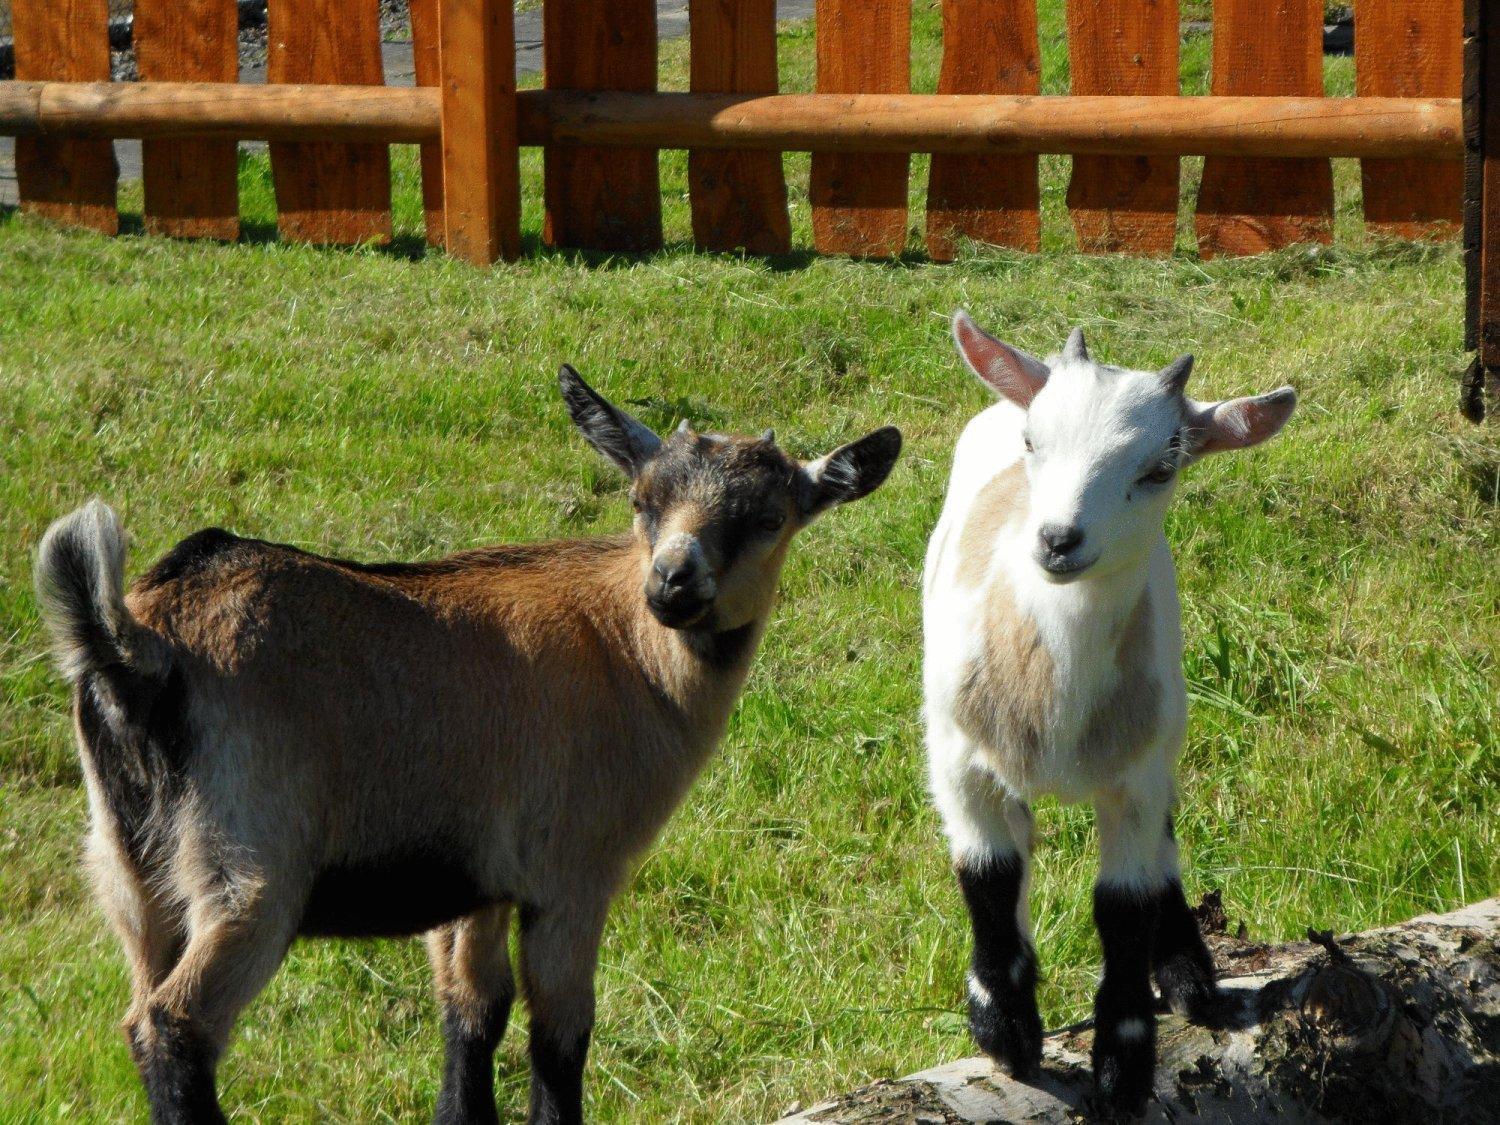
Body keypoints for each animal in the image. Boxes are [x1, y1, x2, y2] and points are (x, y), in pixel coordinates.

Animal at [918, 313, 1296, 1116]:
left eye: (1162, 466)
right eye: (1034, 441)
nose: (1059, 540)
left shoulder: (1136, 773)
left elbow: (1124, 903)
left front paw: (1123, 1060)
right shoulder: (959, 758)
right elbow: (988, 874)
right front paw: (1004, 1027)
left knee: (1163, 847)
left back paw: (1187, 972)